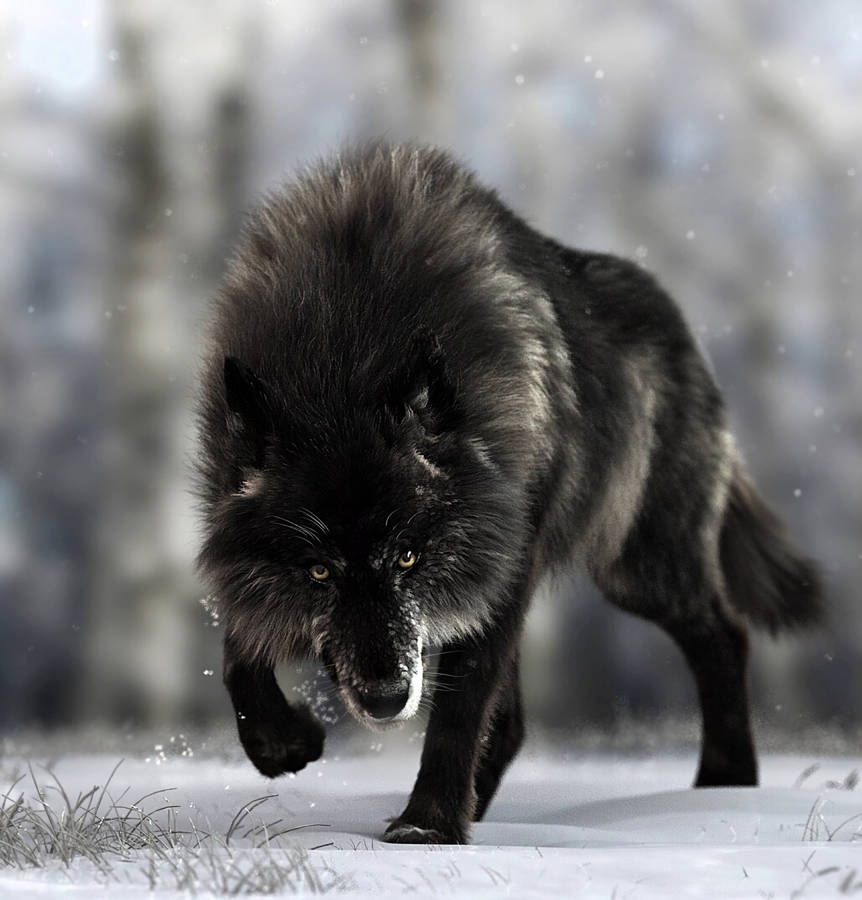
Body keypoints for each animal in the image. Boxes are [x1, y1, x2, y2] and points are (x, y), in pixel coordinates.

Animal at [194, 143, 822, 844]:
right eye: (319, 571)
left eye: (408, 556)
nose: (386, 700)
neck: (345, 347)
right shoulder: (239, 546)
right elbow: (239, 646)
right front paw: (283, 742)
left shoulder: (501, 566)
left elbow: (459, 711)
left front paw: (426, 830)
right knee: (519, 721)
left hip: (637, 569)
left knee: (724, 635)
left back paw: (724, 789)